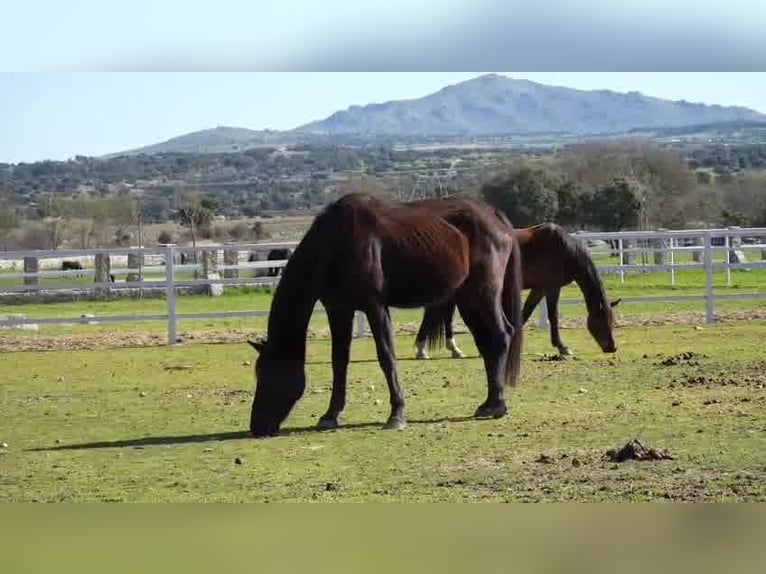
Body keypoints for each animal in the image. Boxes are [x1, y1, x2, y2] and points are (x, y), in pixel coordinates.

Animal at [248, 192, 524, 438]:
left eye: (268, 374)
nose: (257, 426)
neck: (336, 244)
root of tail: (494, 215)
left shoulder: (375, 307)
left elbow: (386, 357)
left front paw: (397, 414)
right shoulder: (339, 311)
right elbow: (339, 362)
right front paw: (330, 415)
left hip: (484, 293)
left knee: (501, 335)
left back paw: (498, 405)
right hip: (467, 298)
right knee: (486, 342)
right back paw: (488, 402)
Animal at [414, 222, 620, 360]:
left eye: (612, 321)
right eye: (601, 320)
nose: (612, 347)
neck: (562, 250)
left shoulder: (539, 289)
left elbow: (527, 313)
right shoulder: (550, 287)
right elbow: (550, 316)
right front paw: (562, 347)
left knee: (444, 315)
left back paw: (451, 349)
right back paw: (423, 349)